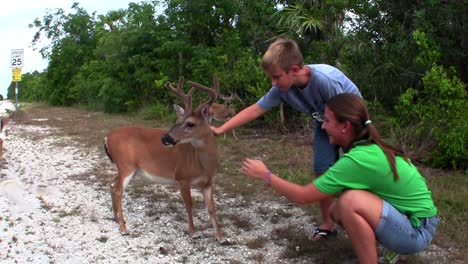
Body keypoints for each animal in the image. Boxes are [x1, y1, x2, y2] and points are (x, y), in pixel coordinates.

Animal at [103, 73, 228, 243]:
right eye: (177, 121)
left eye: (190, 123)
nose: (165, 138)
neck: (203, 165)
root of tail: (107, 138)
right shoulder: (182, 176)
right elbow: (189, 204)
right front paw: (194, 232)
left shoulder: (208, 183)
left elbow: (211, 209)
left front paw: (220, 237)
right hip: (126, 164)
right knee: (118, 190)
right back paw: (123, 228)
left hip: (127, 168)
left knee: (111, 184)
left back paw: (117, 219)